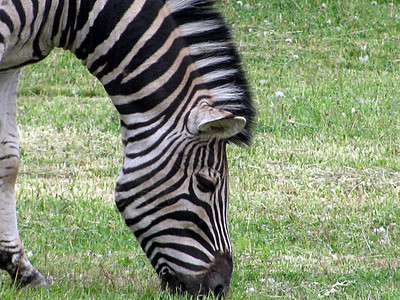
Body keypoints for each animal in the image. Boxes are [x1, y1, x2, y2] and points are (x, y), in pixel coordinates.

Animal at [0, 0, 255, 296]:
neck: (70, 12)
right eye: (206, 183)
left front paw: (21, 270)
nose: (219, 287)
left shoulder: (11, 63)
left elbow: (8, 160)